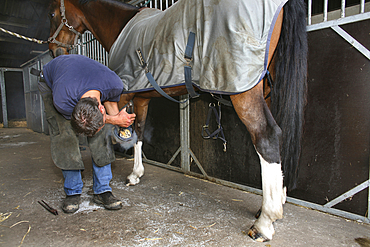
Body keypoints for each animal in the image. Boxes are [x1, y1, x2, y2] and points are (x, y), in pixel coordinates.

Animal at [48, 0, 306, 241]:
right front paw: (136, 174)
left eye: (52, 13)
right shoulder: (142, 98)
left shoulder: (122, 94)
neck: (121, 26)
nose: (53, 49)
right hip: (266, 88)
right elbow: (139, 132)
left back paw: (265, 222)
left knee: (266, 137)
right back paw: (273, 203)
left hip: (244, 90)